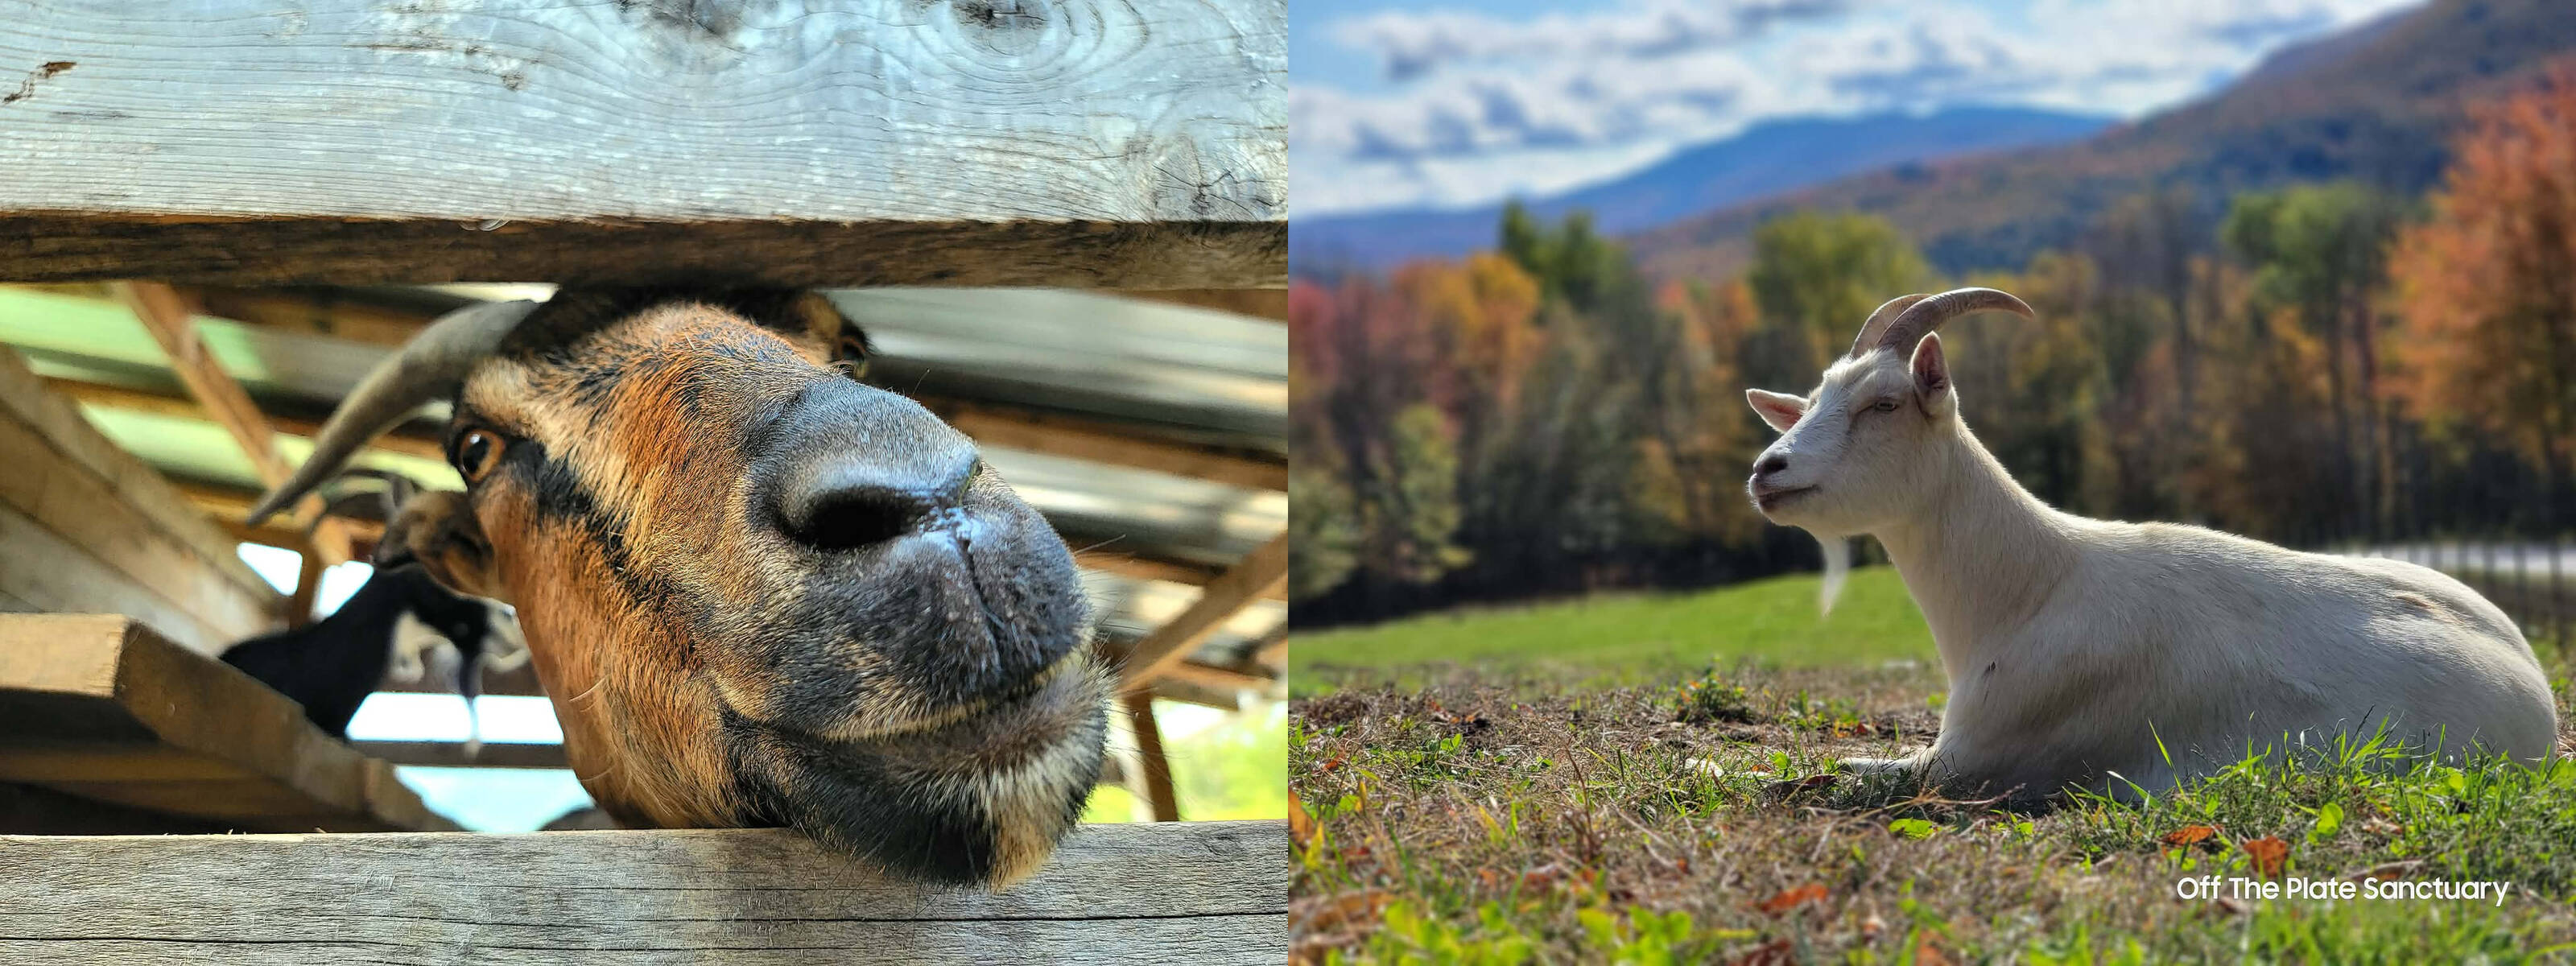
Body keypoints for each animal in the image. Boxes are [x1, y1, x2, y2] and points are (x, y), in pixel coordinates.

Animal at [1743, 288, 2559, 799]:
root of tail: (2542, 698)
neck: (2032, 589)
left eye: (1883, 403)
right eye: (1809, 403)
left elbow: (1825, 772)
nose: (1766, 470)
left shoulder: (1968, 762)